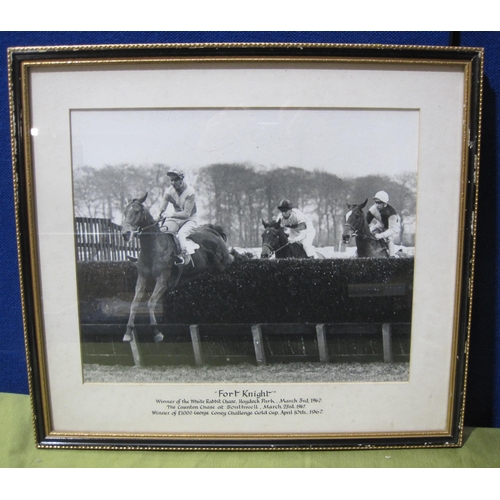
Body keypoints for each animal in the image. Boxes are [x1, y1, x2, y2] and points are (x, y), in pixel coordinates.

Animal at [120, 193, 235, 342]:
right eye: (124, 212)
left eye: (137, 211)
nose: (125, 234)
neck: (153, 248)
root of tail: (212, 230)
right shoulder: (142, 277)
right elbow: (134, 302)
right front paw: (128, 332)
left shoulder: (163, 280)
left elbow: (151, 302)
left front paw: (156, 332)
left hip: (223, 261)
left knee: (231, 258)